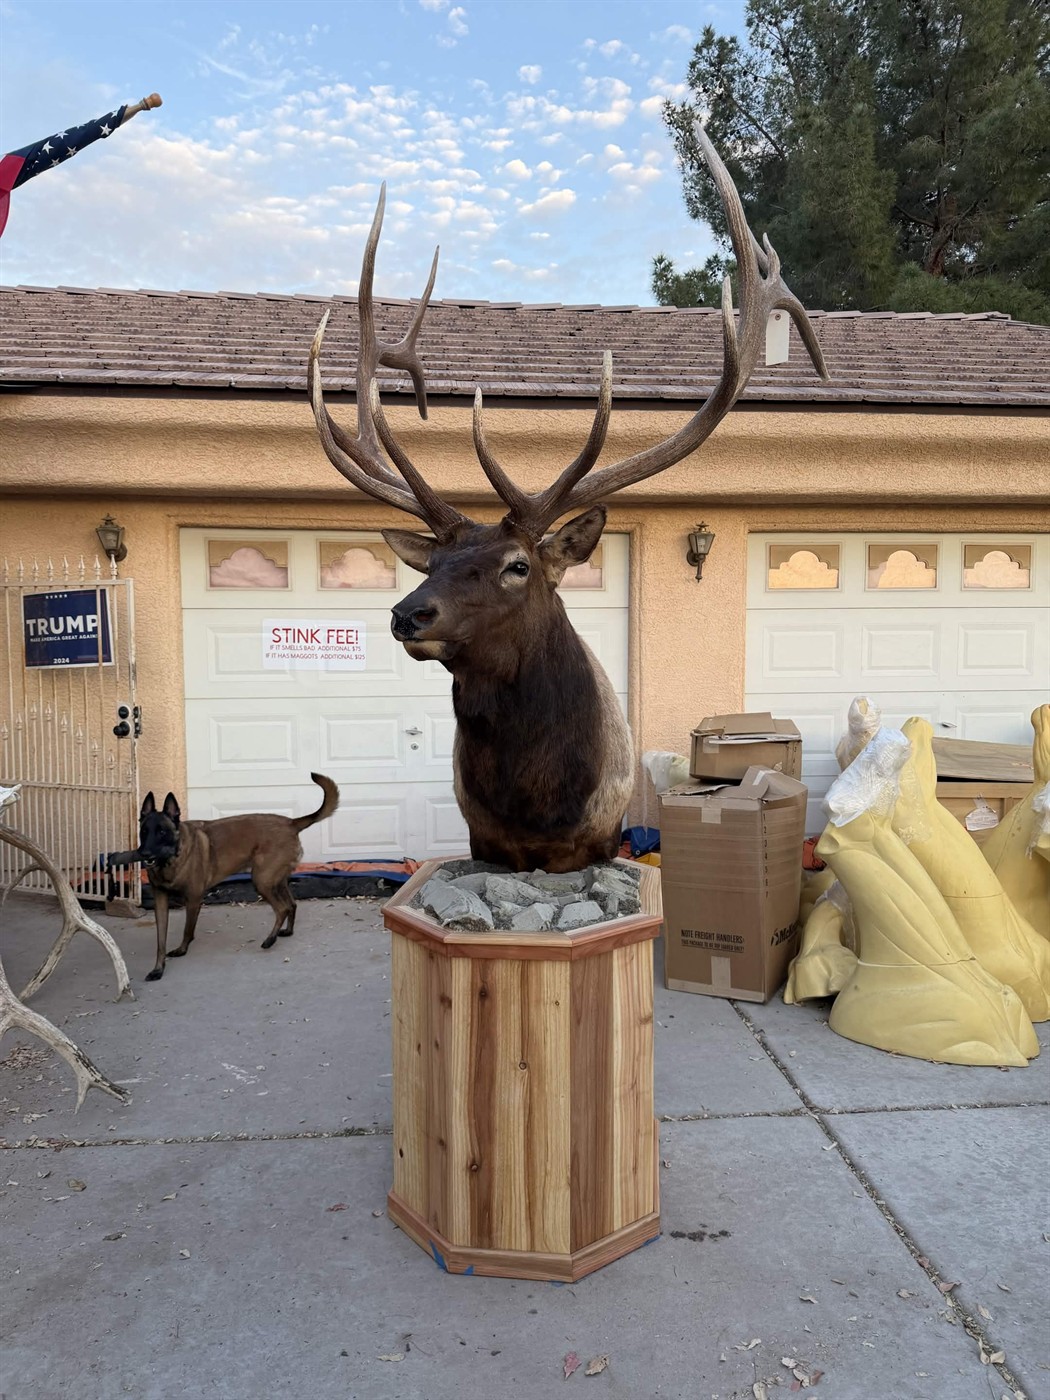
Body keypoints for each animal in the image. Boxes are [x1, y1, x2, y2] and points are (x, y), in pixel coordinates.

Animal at [307, 125, 828, 874]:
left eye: (517, 565)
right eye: (430, 563)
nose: (408, 613)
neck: (536, 805)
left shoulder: (596, 840)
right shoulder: (484, 842)